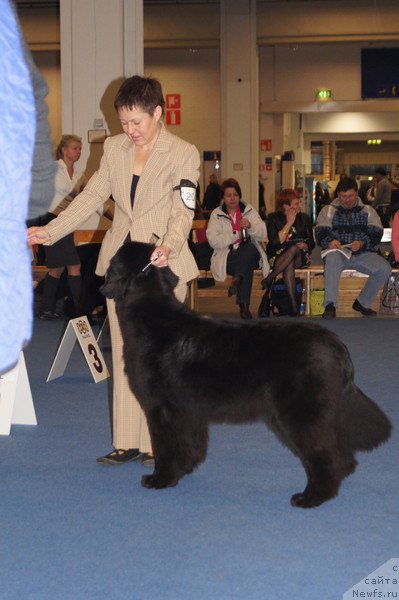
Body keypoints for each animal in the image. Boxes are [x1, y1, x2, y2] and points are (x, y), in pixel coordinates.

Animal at [101, 241, 392, 508]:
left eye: (113, 264)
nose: (102, 282)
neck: (153, 318)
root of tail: (336, 344)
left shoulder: (162, 407)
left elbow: (165, 446)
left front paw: (161, 478)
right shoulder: (187, 410)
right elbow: (189, 443)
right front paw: (184, 470)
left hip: (301, 412)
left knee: (326, 454)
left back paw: (311, 497)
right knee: (343, 456)